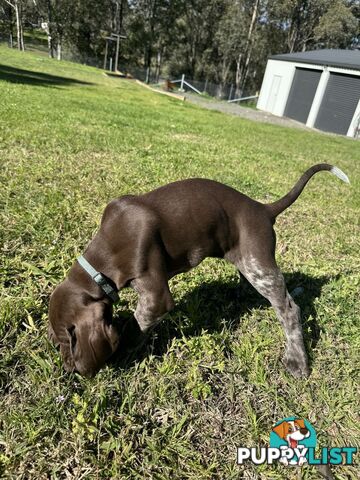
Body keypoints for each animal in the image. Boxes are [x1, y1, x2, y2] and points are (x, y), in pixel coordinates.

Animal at [47, 163, 348, 376]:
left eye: (66, 342)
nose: (69, 371)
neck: (103, 259)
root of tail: (263, 209)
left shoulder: (155, 296)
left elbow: (135, 326)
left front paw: (123, 354)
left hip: (258, 266)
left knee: (289, 309)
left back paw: (297, 359)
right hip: (246, 262)